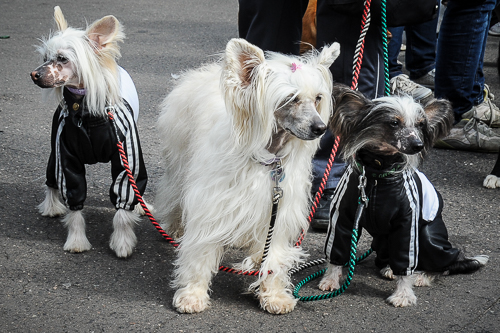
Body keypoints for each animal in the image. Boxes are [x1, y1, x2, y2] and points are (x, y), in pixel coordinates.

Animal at [31, 7, 147, 256]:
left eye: (62, 58)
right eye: (45, 58)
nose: (33, 74)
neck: (87, 113)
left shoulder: (126, 156)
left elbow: (123, 206)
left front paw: (122, 242)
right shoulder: (65, 158)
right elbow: (74, 203)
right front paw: (77, 241)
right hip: (53, 152)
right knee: (51, 179)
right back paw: (51, 206)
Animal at [156, 37, 340, 312]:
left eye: (318, 98)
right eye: (291, 98)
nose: (320, 128)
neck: (268, 158)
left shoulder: (278, 210)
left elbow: (273, 257)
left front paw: (273, 295)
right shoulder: (212, 204)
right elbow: (200, 253)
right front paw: (192, 293)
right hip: (179, 166)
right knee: (174, 196)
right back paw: (175, 228)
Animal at [320, 85, 488, 306]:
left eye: (420, 125)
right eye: (394, 123)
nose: (418, 145)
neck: (378, 171)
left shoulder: (407, 225)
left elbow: (406, 260)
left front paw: (403, 294)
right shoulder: (343, 218)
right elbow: (336, 250)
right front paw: (331, 279)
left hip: (428, 238)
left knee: (444, 265)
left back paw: (423, 275)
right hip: (382, 241)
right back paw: (389, 268)